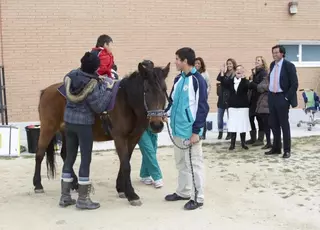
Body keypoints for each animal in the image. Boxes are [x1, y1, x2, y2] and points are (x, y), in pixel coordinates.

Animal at [33, 62, 170, 206]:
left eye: (164, 89)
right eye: (146, 90)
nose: (157, 124)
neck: (126, 102)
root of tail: (46, 90)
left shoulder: (133, 138)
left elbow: (125, 161)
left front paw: (121, 188)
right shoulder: (119, 138)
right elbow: (126, 165)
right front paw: (132, 195)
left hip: (67, 132)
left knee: (65, 154)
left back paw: (74, 184)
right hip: (48, 128)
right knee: (39, 154)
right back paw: (38, 185)